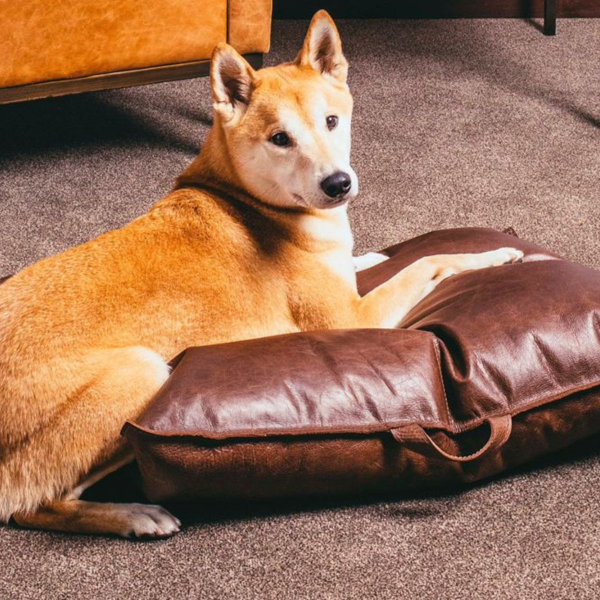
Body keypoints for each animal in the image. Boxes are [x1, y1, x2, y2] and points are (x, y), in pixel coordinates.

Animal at [0, 10, 522, 538]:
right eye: (280, 139)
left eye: (331, 121)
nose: (339, 183)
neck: (247, 198)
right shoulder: (352, 319)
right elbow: (427, 262)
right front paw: (495, 255)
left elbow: (375, 263)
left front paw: (371, 257)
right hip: (142, 373)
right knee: (35, 504)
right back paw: (135, 514)